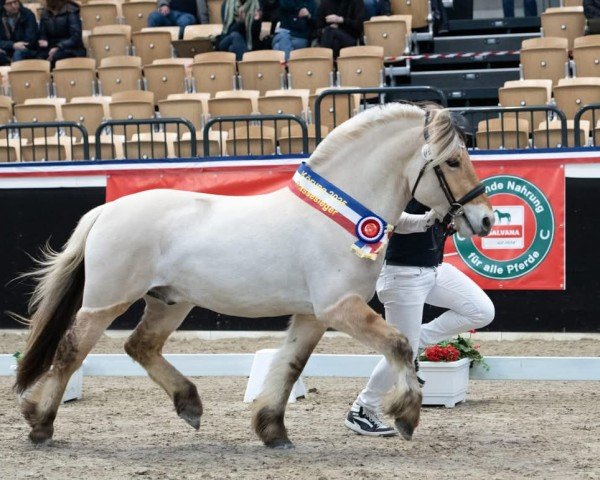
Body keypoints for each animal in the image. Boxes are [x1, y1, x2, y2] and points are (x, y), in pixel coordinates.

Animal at [14, 102, 494, 450]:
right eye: (453, 162)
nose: (486, 219)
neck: (338, 214)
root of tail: (106, 210)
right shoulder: (339, 308)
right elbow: (398, 345)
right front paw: (408, 416)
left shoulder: (313, 315)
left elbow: (290, 365)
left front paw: (273, 431)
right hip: (105, 301)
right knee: (71, 351)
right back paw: (40, 425)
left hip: (170, 301)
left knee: (141, 345)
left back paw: (189, 405)